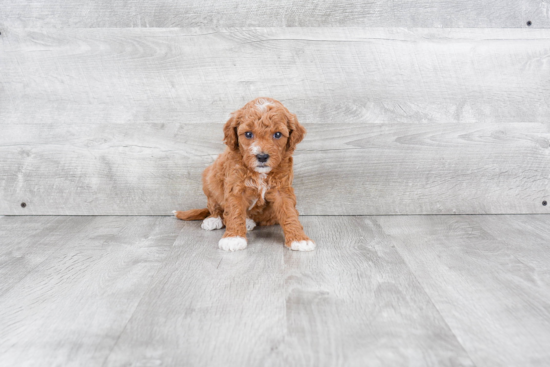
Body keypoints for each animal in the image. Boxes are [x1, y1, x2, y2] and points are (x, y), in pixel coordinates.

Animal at [175, 97, 316, 253]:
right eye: (248, 134)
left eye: (278, 134)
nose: (262, 156)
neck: (259, 173)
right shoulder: (235, 187)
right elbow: (235, 211)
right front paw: (233, 238)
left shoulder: (282, 189)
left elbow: (289, 213)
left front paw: (299, 239)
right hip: (210, 179)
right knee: (214, 206)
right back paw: (214, 219)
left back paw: (248, 221)